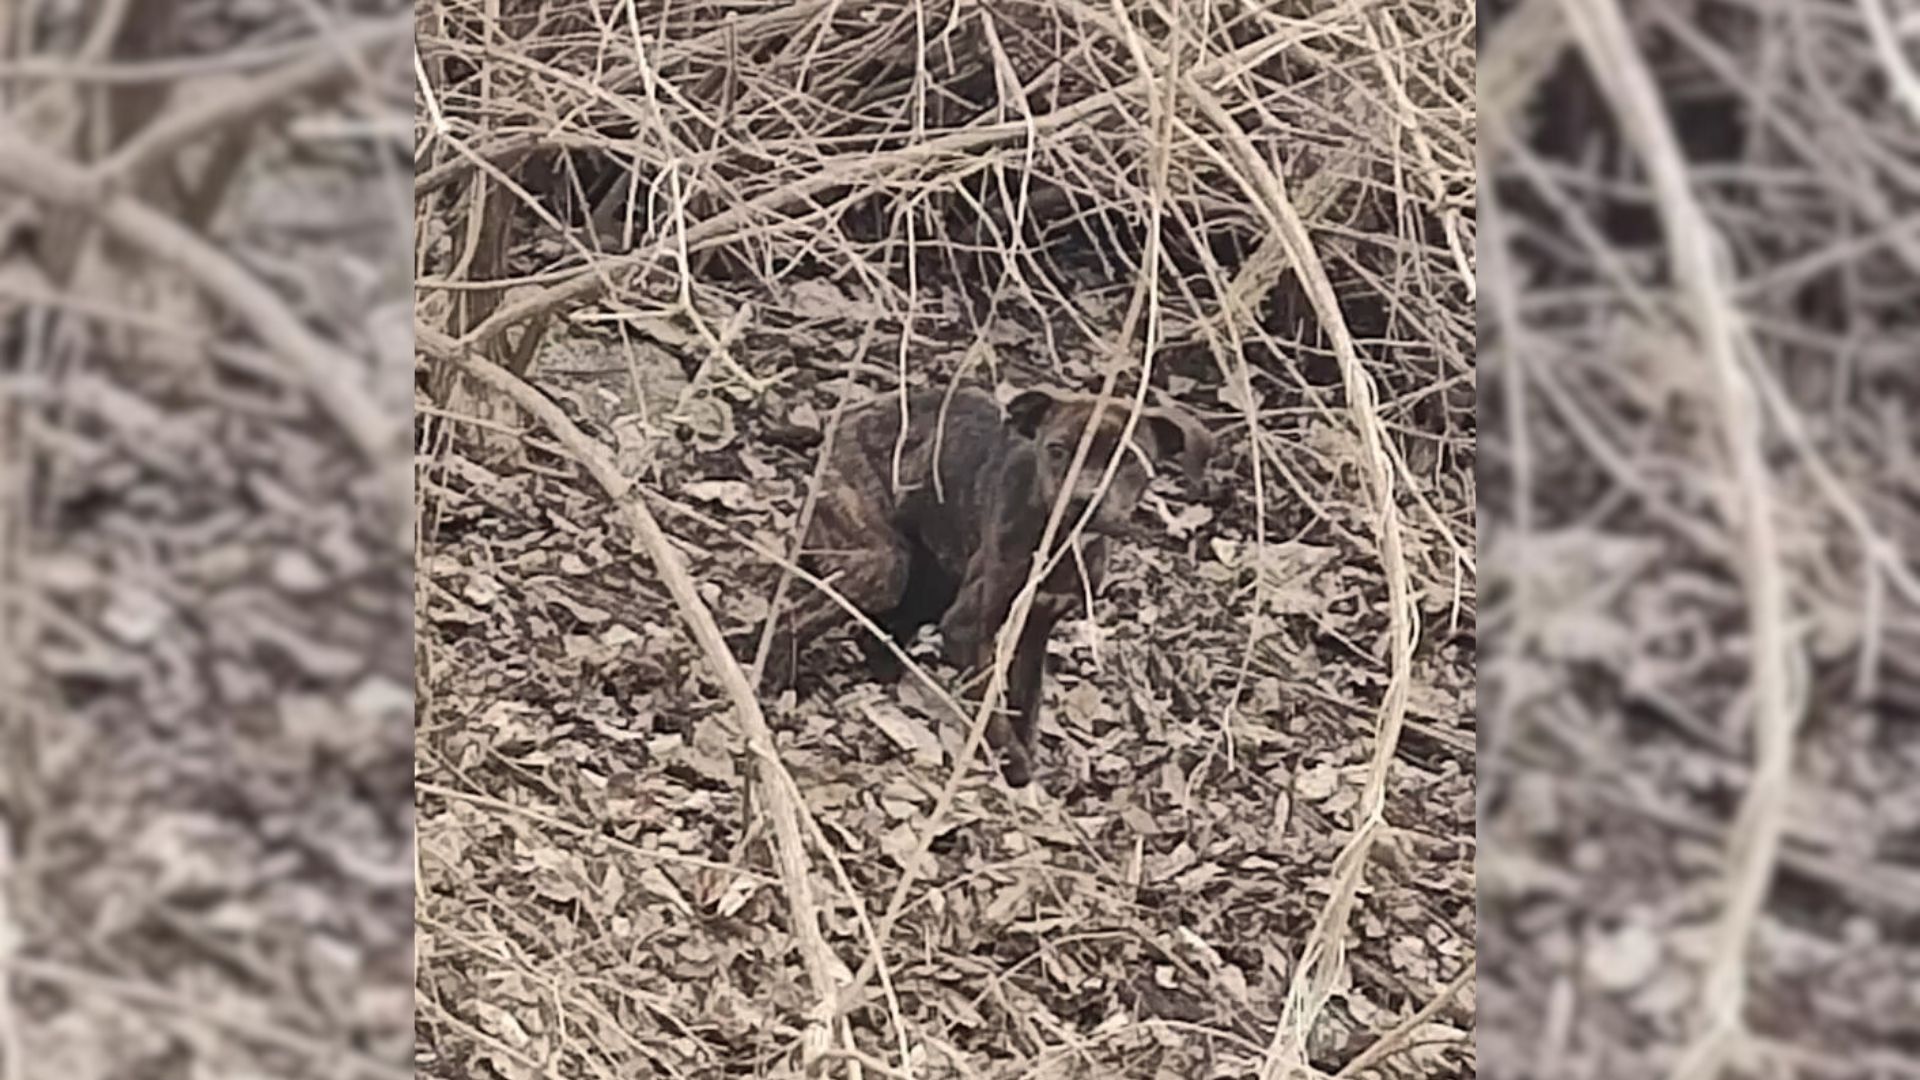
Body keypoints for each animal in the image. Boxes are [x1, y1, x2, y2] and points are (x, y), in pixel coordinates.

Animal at [764, 384, 1213, 780]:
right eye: (1057, 450)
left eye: (1128, 460)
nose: (1083, 499)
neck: (1060, 542)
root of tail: (844, 418)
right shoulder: (967, 627)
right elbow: (993, 715)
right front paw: (1019, 771)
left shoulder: (1035, 627)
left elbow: (1025, 704)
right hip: (884, 565)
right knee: (791, 617)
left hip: (933, 577)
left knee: (875, 635)